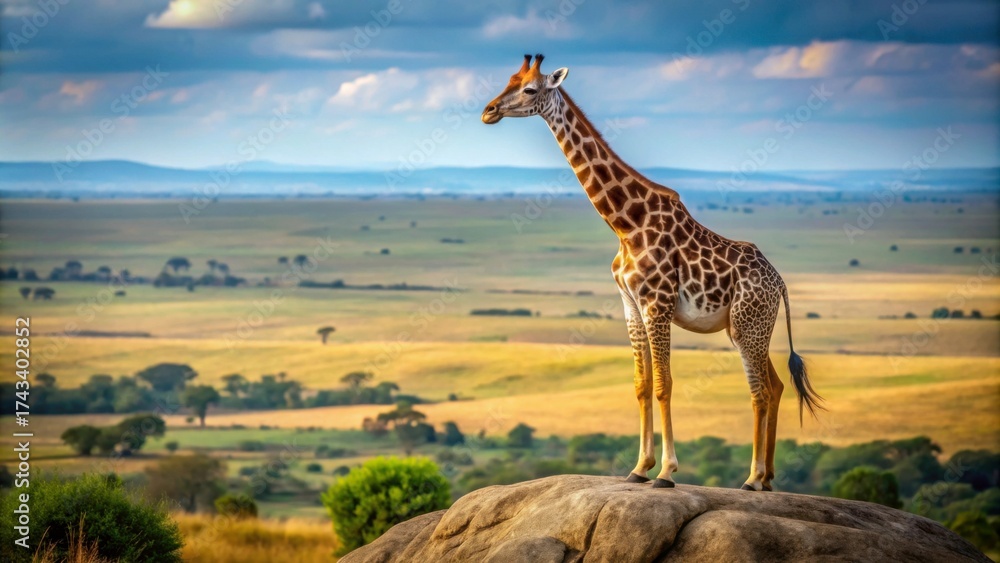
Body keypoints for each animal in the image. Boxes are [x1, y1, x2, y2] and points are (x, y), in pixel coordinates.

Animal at [482, 54, 823, 491]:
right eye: (509, 79)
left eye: (529, 88)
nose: (489, 111)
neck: (626, 224)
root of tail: (779, 282)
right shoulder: (630, 304)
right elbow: (641, 386)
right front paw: (639, 468)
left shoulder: (656, 304)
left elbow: (664, 385)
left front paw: (665, 471)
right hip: (745, 327)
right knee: (777, 385)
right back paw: (767, 479)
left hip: (750, 325)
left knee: (760, 391)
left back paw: (752, 478)